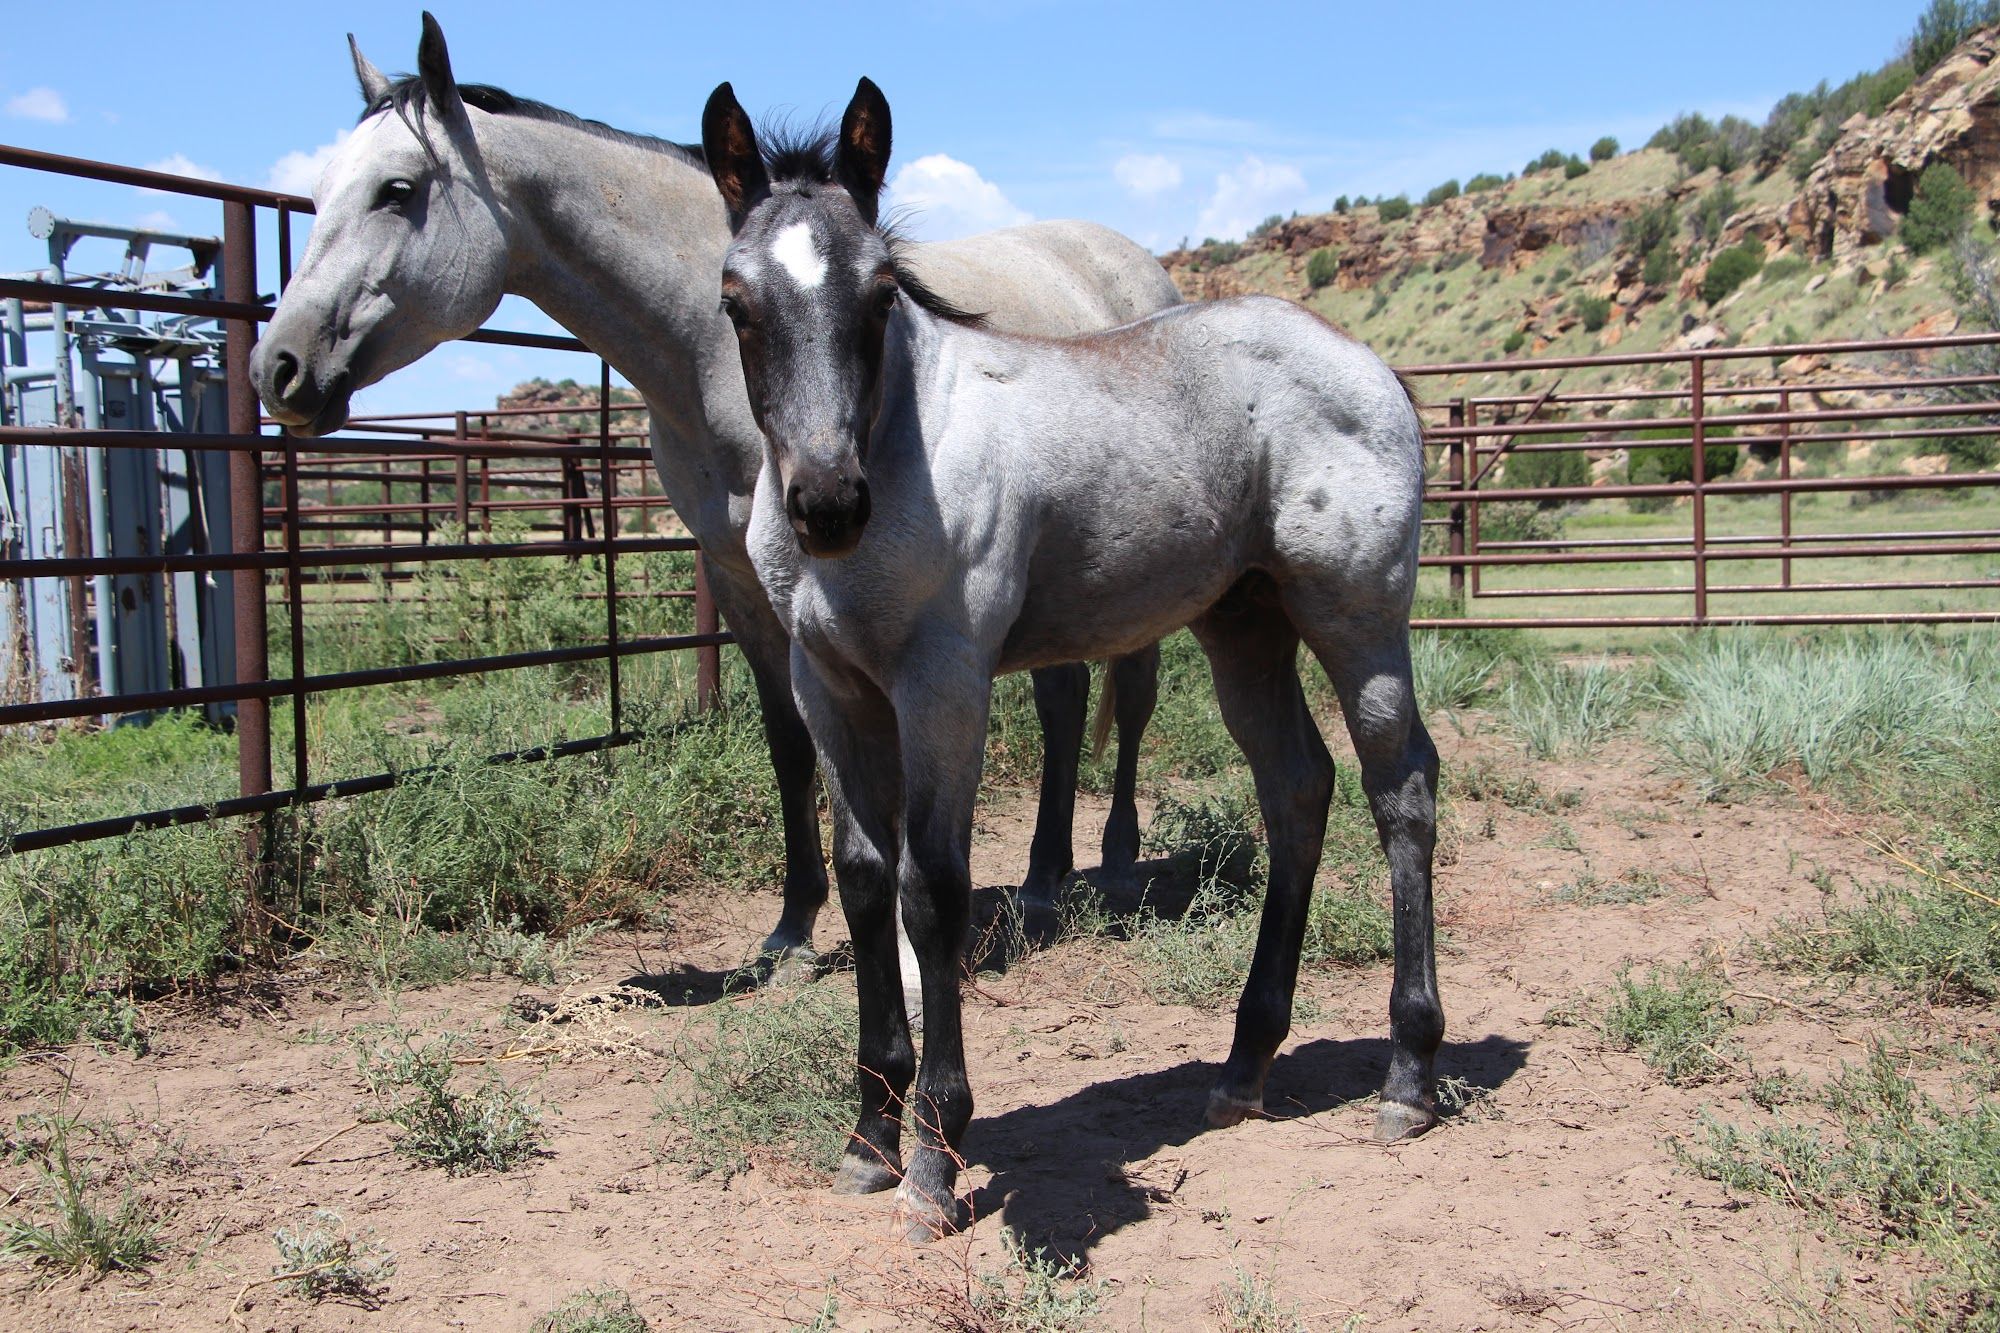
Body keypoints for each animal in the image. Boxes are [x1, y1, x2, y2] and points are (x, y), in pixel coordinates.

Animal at [248, 14, 1179, 974]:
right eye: (318, 190)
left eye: (396, 190)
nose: (278, 367)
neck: (703, 361)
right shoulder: (735, 574)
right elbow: (788, 742)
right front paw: (793, 926)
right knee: (1065, 695)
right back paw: (1041, 877)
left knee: (1132, 690)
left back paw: (1112, 862)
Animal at [699, 78, 1443, 1239]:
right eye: (737, 300)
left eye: (878, 293)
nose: (827, 503)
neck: (900, 448)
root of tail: (1368, 363)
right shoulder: (830, 685)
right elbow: (863, 880)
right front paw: (869, 1134)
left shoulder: (944, 683)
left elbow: (932, 890)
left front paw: (934, 1154)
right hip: (1244, 625)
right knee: (1297, 788)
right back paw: (1242, 1065)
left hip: (1354, 615)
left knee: (1399, 784)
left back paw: (1408, 1073)